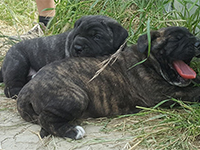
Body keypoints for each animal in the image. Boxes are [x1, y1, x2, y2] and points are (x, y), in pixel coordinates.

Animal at [16, 26, 200, 140]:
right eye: (176, 39)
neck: (148, 60)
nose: (198, 42)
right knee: (45, 118)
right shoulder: (163, 93)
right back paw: (73, 131)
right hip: (77, 96)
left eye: (191, 35)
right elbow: (193, 92)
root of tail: (26, 90)